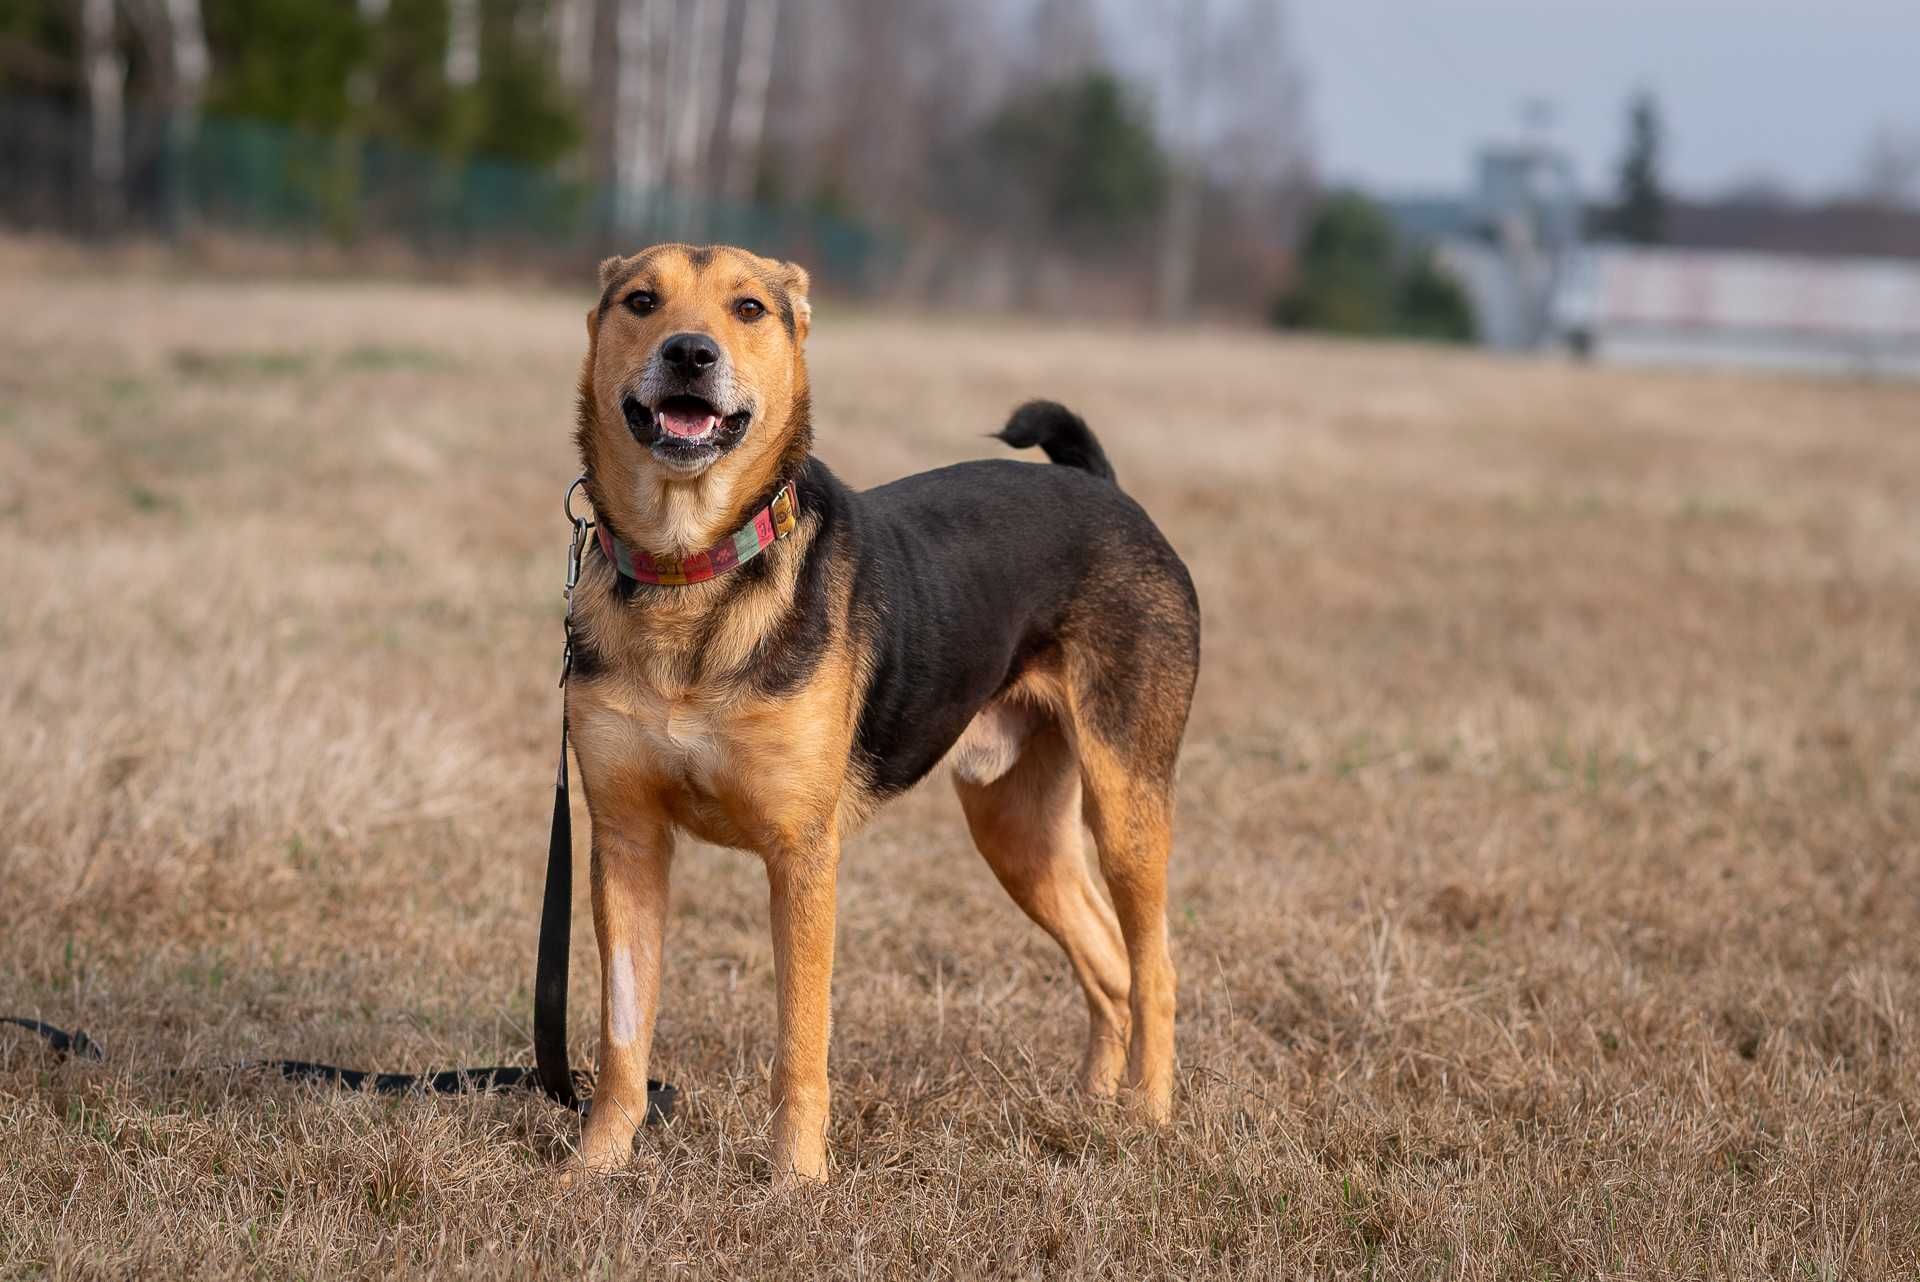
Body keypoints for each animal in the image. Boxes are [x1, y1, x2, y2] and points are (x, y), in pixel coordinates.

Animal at [560, 242, 1198, 1182]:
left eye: (748, 309)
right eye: (641, 301)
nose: (689, 353)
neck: (693, 567)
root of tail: (1108, 491)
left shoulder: (801, 852)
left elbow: (800, 1038)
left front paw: (796, 1180)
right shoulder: (627, 839)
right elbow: (622, 1032)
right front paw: (596, 1166)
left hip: (1127, 803)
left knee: (1154, 969)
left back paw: (1148, 1117)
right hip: (1017, 829)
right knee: (1108, 965)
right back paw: (1092, 1106)